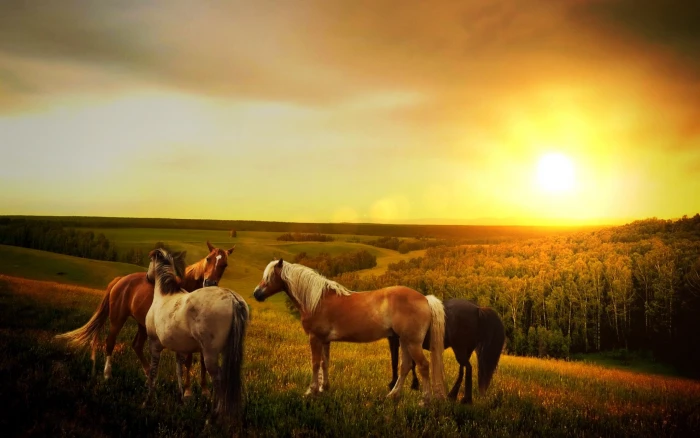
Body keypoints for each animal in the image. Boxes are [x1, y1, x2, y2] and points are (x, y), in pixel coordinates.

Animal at [56, 241, 235, 397]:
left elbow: (203, 361)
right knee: (110, 342)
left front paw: (205, 391)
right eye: (208, 258)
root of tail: (120, 280)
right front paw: (189, 392)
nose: (209, 282)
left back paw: (150, 377)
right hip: (117, 319)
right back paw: (108, 375)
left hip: (142, 324)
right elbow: (190, 359)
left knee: (136, 345)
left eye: (224, 265)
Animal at [144, 248, 248, 423]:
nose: (147, 277)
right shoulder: (179, 349)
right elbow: (179, 370)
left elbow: (153, 372)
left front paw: (148, 401)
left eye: (150, 262)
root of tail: (233, 299)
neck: (164, 295)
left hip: (210, 354)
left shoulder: (154, 345)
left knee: (218, 379)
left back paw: (213, 417)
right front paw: (182, 397)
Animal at [253, 259, 447, 403]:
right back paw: (393, 395)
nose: (256, 294)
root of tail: (424, 298)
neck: (317, 300)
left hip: (412, 343)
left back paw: (425, 400)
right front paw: (324, 388)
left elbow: (315, 363)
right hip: (404, 341)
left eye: (270, 277)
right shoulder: (325, 340)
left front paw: (311, 391)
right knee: (405, 366)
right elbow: (324, 363)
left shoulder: (315, 338)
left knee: (423, 366)